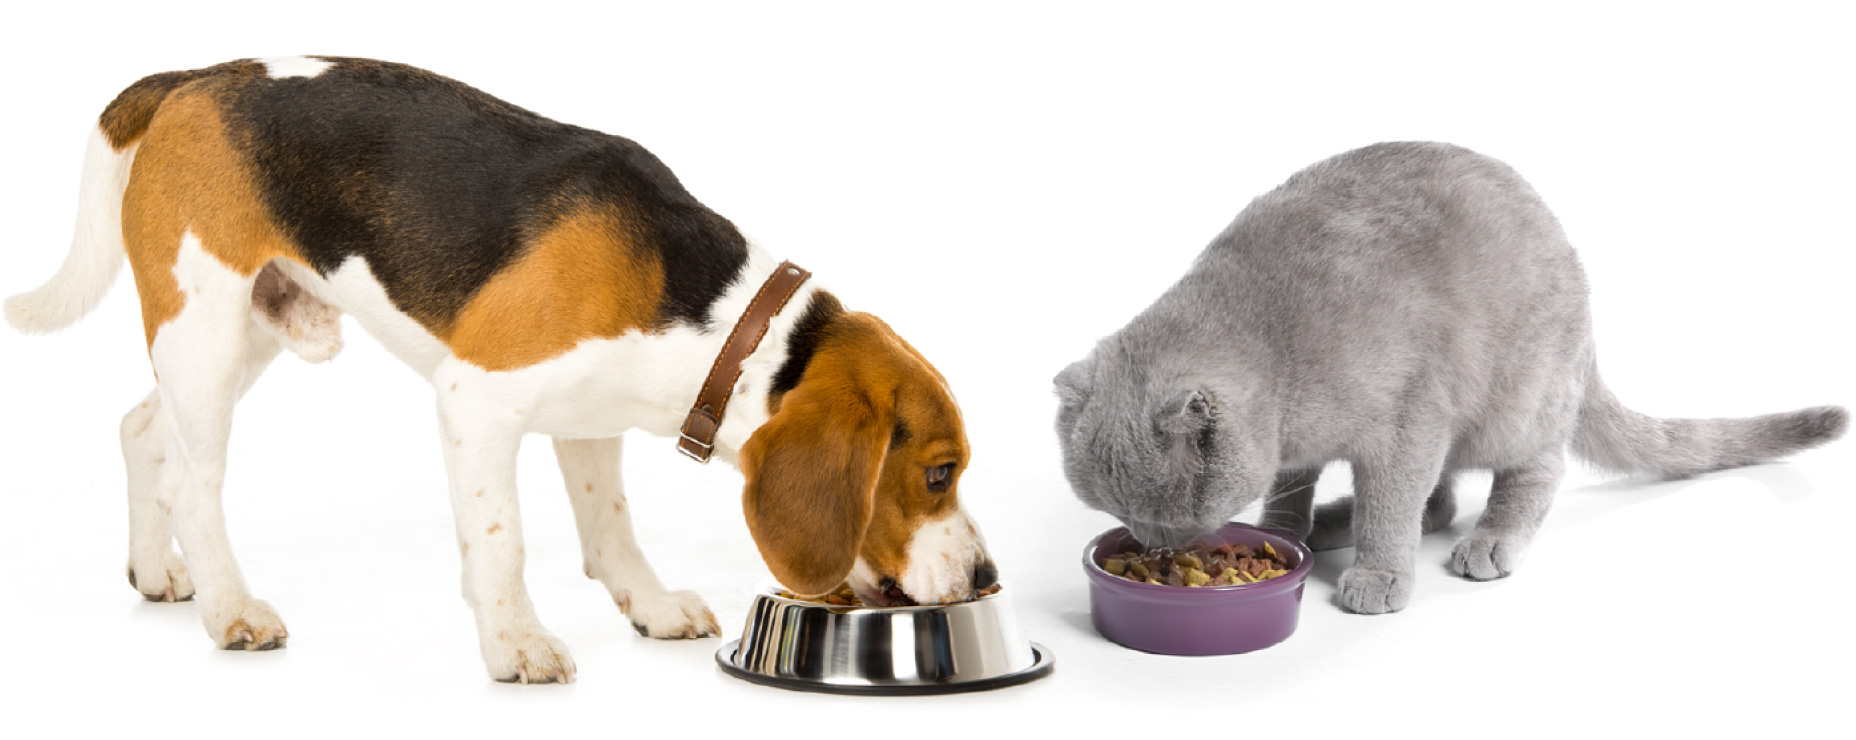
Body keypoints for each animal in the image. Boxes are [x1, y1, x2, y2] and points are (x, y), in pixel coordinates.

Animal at [7, 56, 994, 682]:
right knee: (194, 484)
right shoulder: (474, 401)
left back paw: (156, 572)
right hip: (206, 330)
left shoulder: (591, 420)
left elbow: (612, 531)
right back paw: (230, 609)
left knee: (143, 430)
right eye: (938, 473)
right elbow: (502, 542)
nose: (987, 578)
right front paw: (515, 642)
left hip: (242, 330)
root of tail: (189, 80)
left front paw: (648, 607)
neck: (722, 325)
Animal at [1054, 141, 1848, 615]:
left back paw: (1487, 541)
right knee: (1436, 503)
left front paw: (1376, 574)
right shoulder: (1312, 442)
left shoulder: (1406, 423)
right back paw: (1336, 522)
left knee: (1526, 474)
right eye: (1120, 513)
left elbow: (1393, 505)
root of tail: (1588, 321)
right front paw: (1288, 533)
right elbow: (1292, 488)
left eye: (1164, 518)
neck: (1276, 346)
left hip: (1514, 402)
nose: (1155, 545)